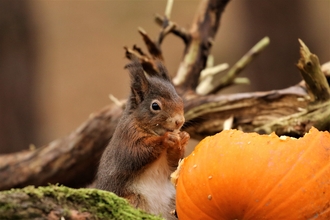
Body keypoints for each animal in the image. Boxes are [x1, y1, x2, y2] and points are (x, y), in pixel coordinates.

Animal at [94, 57, 189, 219]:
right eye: (155, 106)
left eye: (180, 99)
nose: (179, 121)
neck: (154, 131)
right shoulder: (127, 138)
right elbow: (135, 154)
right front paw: (166, 139)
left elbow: (173, 163)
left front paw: (182, 138)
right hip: (132, 198)